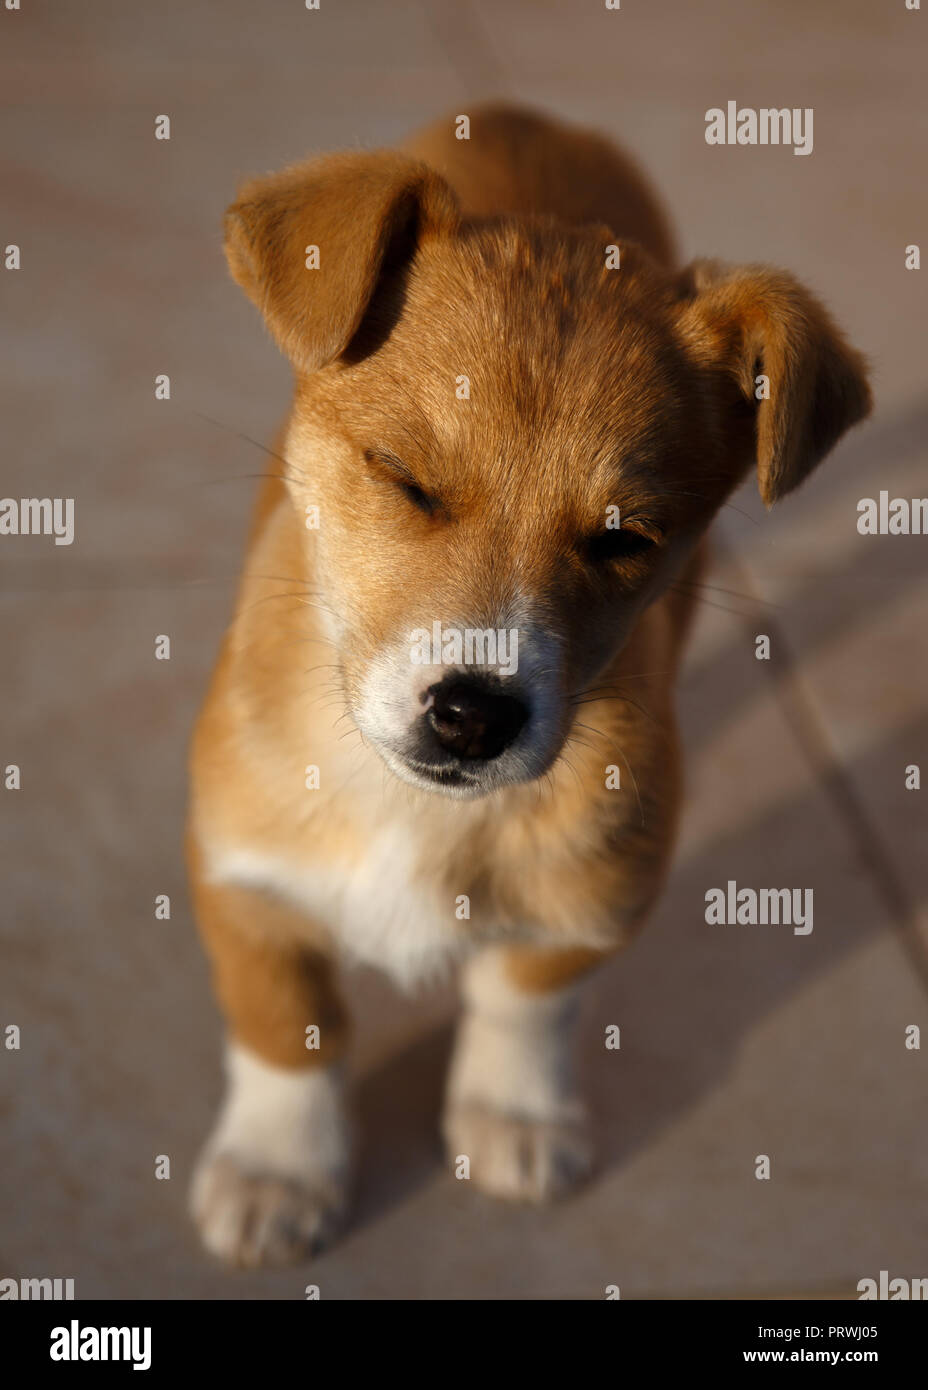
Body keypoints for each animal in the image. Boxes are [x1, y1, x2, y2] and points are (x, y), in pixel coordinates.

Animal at [188, 102, 872, 1267]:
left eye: (623, 538)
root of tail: (527, 118)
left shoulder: (598, 892)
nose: (472, 714)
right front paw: (280, 1166)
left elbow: (523, 997)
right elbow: (287, 1025)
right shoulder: (242, 873)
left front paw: (513, 1113)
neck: (414, 811)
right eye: (403, 479)